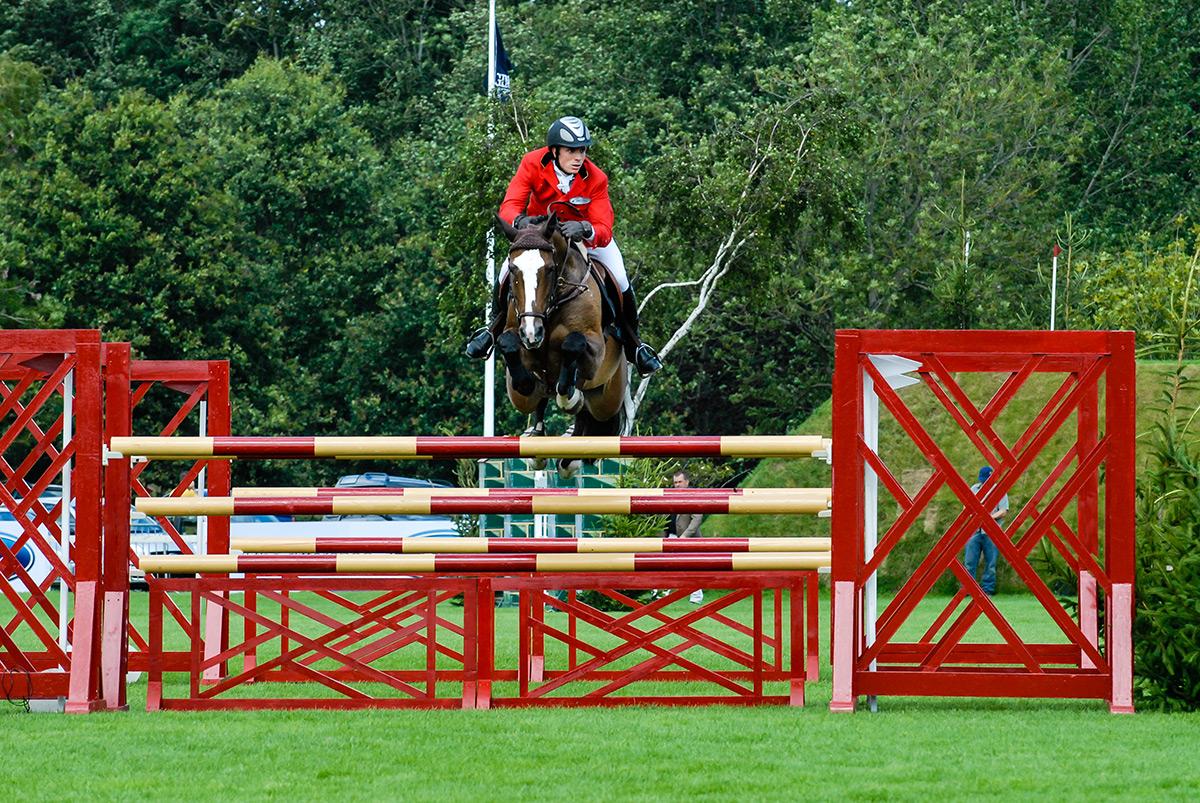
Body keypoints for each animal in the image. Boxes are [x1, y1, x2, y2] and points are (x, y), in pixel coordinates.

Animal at [494, 212, 628, 475]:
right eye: (513, 269)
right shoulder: (518, 335)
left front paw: (569, 397)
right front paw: (526, 382)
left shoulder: (595, 349)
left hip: (608, 399)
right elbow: (508, 343)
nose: (532, 332)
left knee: (592, 415)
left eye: (549, 269)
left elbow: (572, 345)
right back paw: (539, 441)